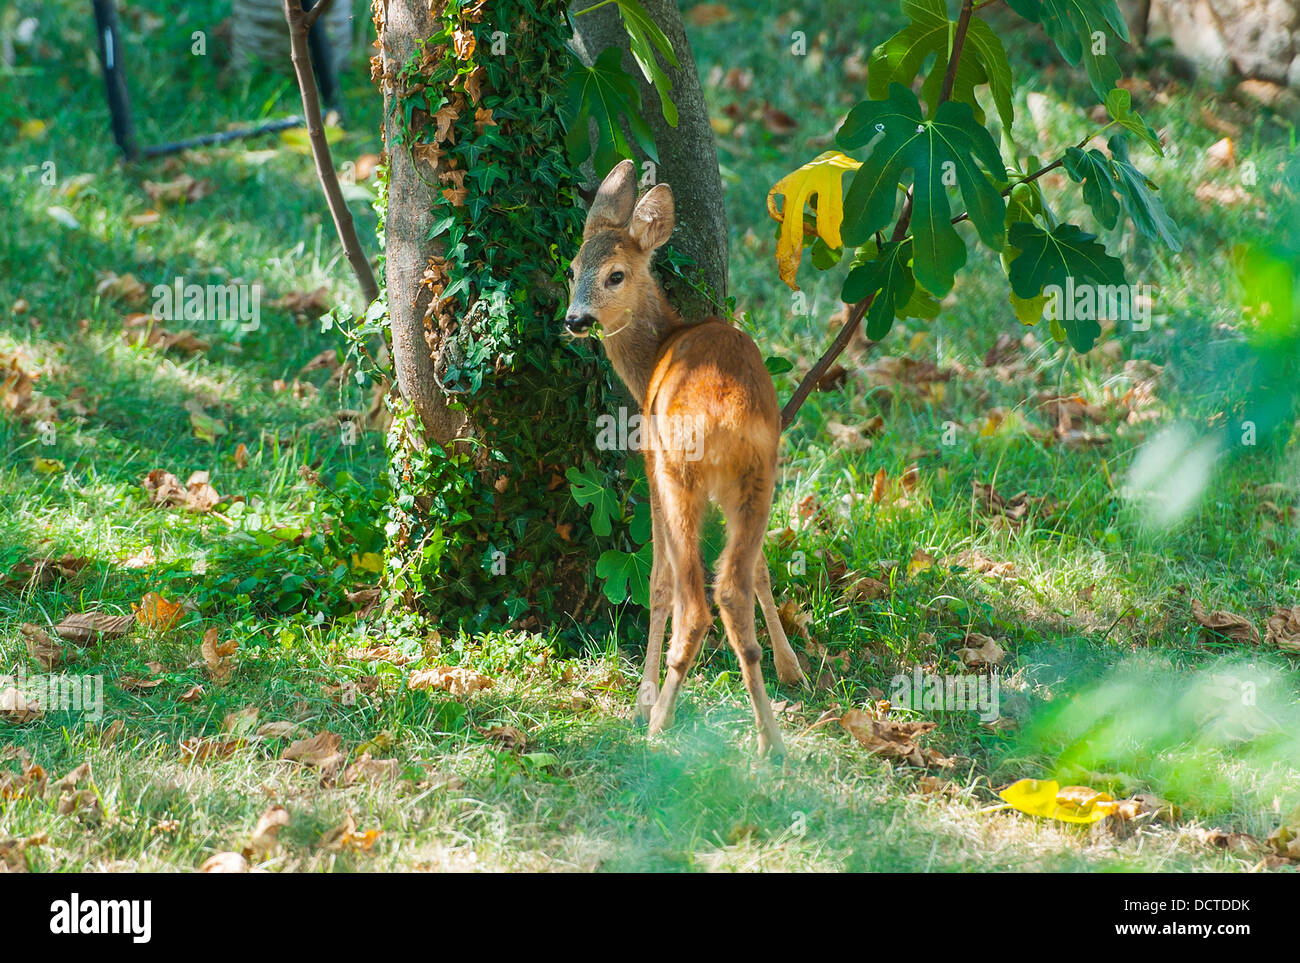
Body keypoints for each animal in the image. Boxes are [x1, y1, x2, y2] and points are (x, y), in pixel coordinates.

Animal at [564, 161, 806, 753]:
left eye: (616, 275)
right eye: (574, 268)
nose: (576, 320)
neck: (659, 346)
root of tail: (726, 420)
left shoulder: (649, 464)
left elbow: (656, 584)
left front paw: (643, 695)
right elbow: (762, 571)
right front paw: (792, 668)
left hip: (679, 474)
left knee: (694, 602)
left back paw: (656, 724)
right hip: (760, 476)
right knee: (735, 586)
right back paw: (770, 741)